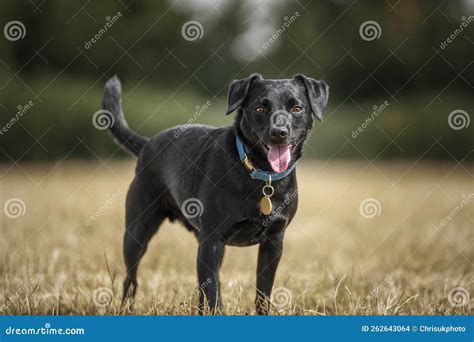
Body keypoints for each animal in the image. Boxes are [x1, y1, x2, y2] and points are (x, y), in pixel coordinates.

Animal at [102, 73, 328, 314]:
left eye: (297, 108)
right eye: (259, 108)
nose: (278, 132)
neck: (259, 173)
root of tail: (147, 144)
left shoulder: (273, 242)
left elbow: (262, 292)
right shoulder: (212, 240)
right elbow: (208, 293)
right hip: (137, 233)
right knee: (131, 279)